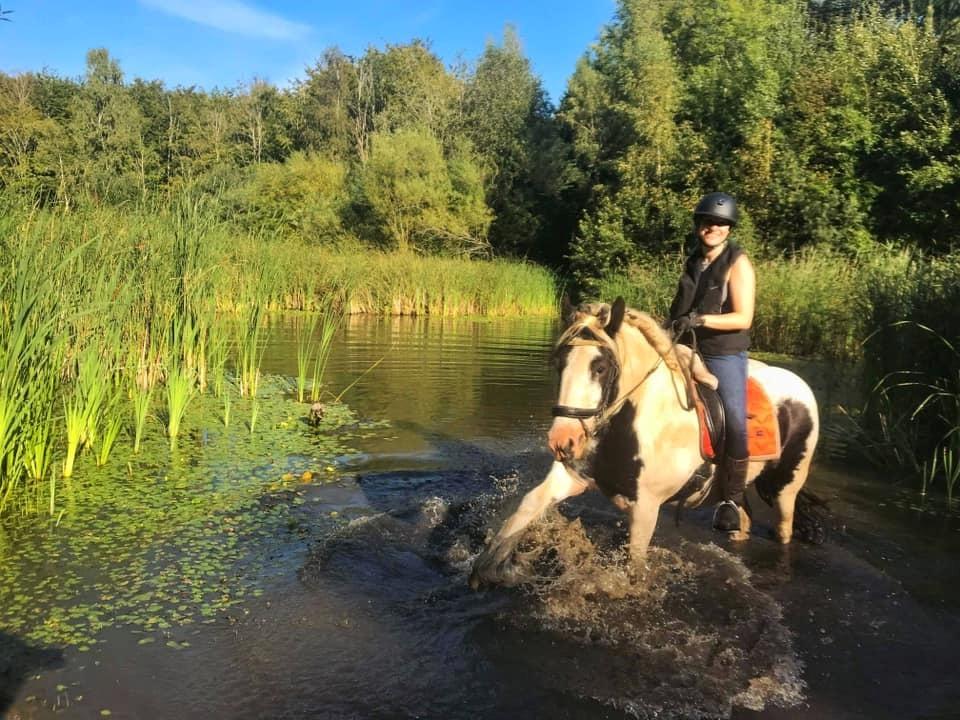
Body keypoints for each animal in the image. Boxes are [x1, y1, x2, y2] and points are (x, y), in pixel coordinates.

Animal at [470, 297, 820, 588]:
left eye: (600, 367)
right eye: (560, 364)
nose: (563, 440)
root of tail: (801, 386)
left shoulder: (646, 508)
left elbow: (634, 564)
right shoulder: (572, 477)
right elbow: (527, 507)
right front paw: (489, 568)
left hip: (784, 488)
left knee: (784, 528)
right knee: (742, 518)